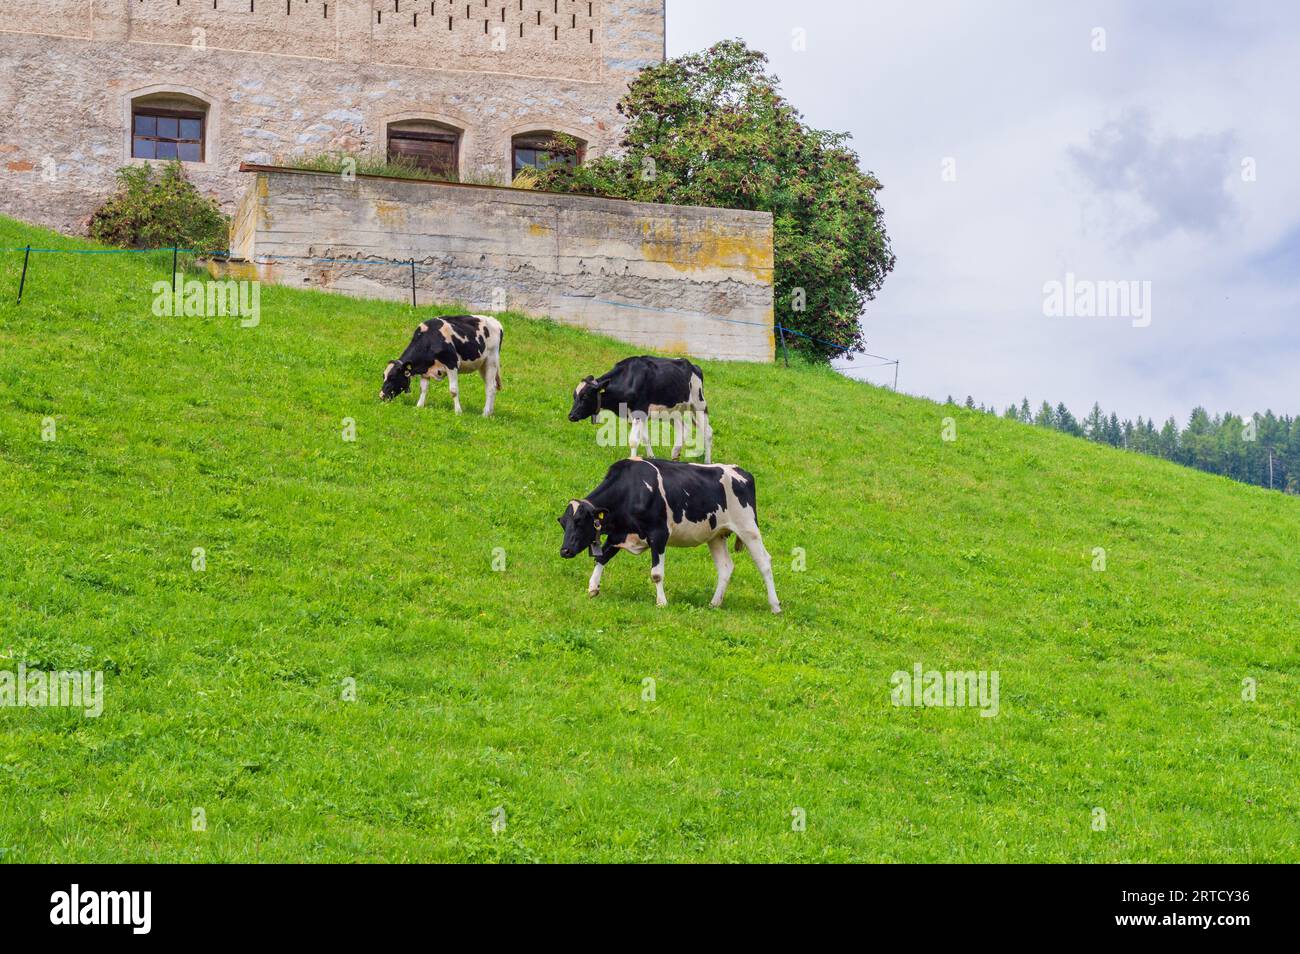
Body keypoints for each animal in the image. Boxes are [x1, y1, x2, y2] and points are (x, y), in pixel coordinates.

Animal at [553, 460, 774, 616]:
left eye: (579, 521)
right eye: (563, 523)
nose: (565, 550)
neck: (632, 489)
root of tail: (741, 471)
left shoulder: (658, 535)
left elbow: (656, 574)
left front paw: (662, 602)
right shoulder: (619, 534)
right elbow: (601, 558)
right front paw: (592, 588)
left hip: (748, 527)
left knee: (764, 562)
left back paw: (775, 606)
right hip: (716, 535)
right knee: (726, 567)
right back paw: (714, 603)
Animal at [566, 356, 712, 465]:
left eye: (585, 396)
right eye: (574, 395)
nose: (571, 416)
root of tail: (694, 366)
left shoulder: (639, 412)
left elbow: (633, 441)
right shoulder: (637, 415)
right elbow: (645, 437)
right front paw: (651, 457)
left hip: (699, 405)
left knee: (707, 432)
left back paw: (707, 462)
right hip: (673, 411)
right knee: (684, 428)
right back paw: (675, 454)